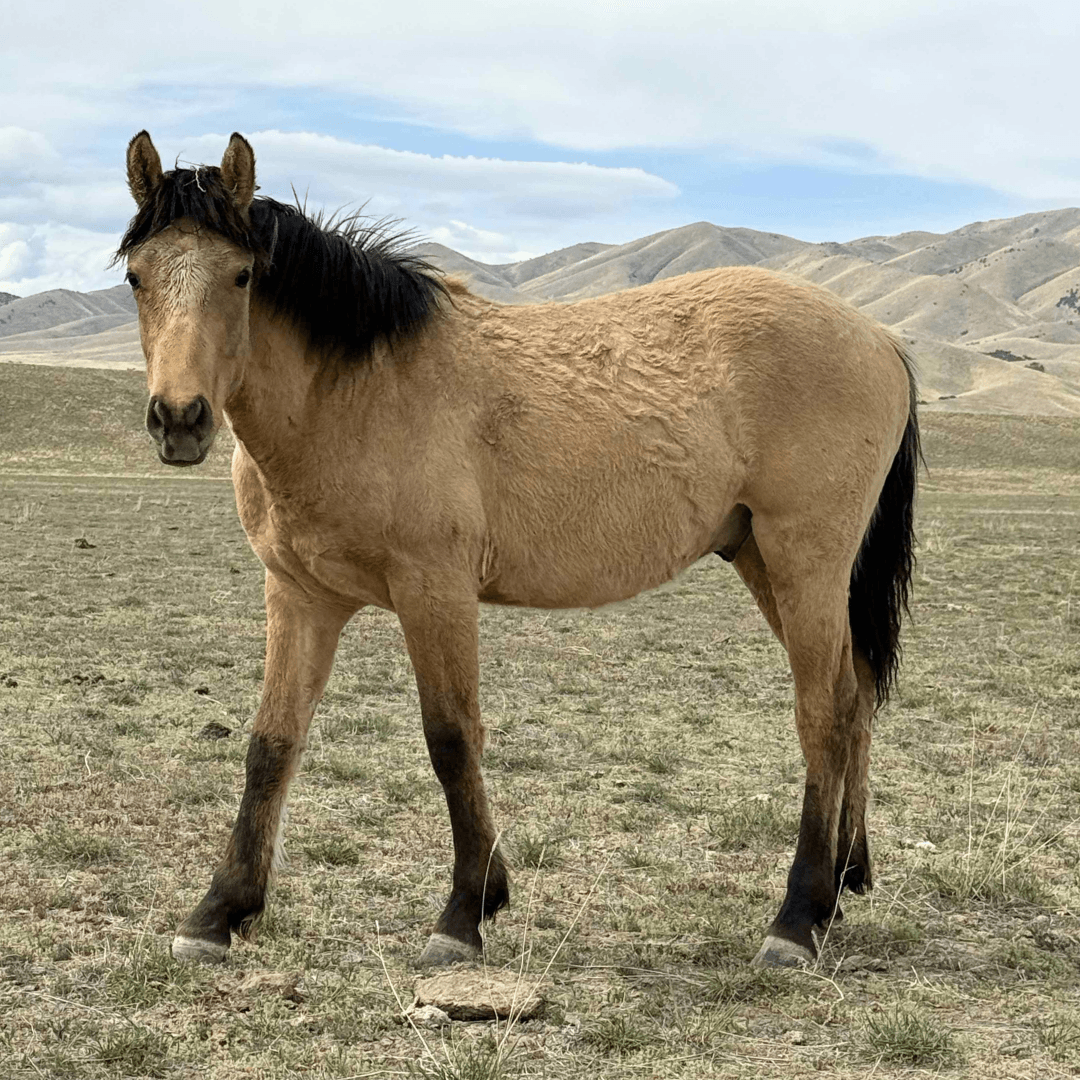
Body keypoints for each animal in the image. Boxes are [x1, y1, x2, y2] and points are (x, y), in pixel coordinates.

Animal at [118, 131, 919, 970]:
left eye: (241, 275)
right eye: (137, 276)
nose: (179, 419)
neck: (356, 393)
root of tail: (880, 337)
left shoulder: (433, 591)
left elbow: (450, 738)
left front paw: (465, 911)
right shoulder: (300, 596)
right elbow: (272, 743)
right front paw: (219, 911)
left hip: (806, 563)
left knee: (822, 714)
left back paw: (796, 918)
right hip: (765, 560)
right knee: (854, 697)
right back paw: (842, 883)